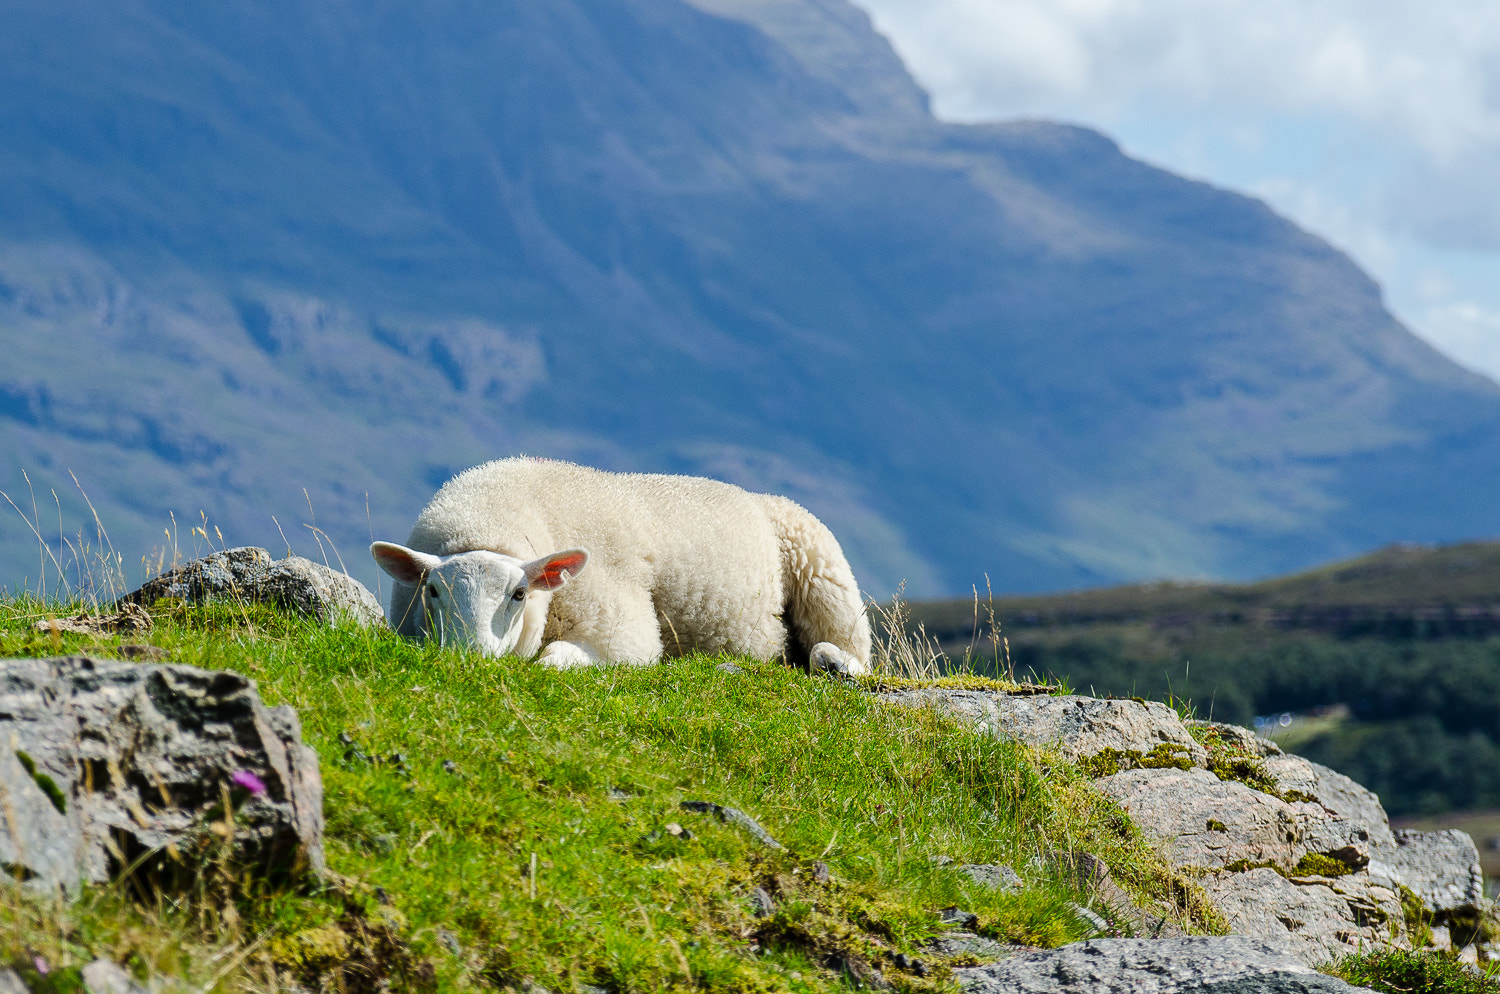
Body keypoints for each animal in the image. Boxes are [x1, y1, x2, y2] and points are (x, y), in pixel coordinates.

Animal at [367, 458, 876, 677]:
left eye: (519, 594)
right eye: (433, 591)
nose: (470, 658)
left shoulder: (623, 630)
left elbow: (556, 659)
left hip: (827, 575)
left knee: (848, 651)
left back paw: (834, 661)